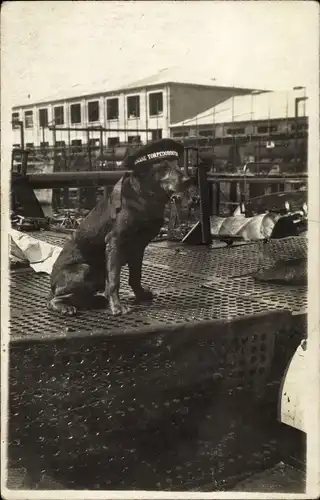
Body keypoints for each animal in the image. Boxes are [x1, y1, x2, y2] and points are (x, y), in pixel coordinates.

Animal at [47, 138, 190, 316]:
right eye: (163, 167)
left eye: (178, 164)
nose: (188, 180)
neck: (143, 196)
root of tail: (52, 287)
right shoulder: (115, 243)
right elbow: (114, 280)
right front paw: (117, 306)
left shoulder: (138, 248)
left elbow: (135, 276)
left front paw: (140, 294)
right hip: (87, 270)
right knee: (54, 300)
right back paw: (65, 306)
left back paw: (96, 300)